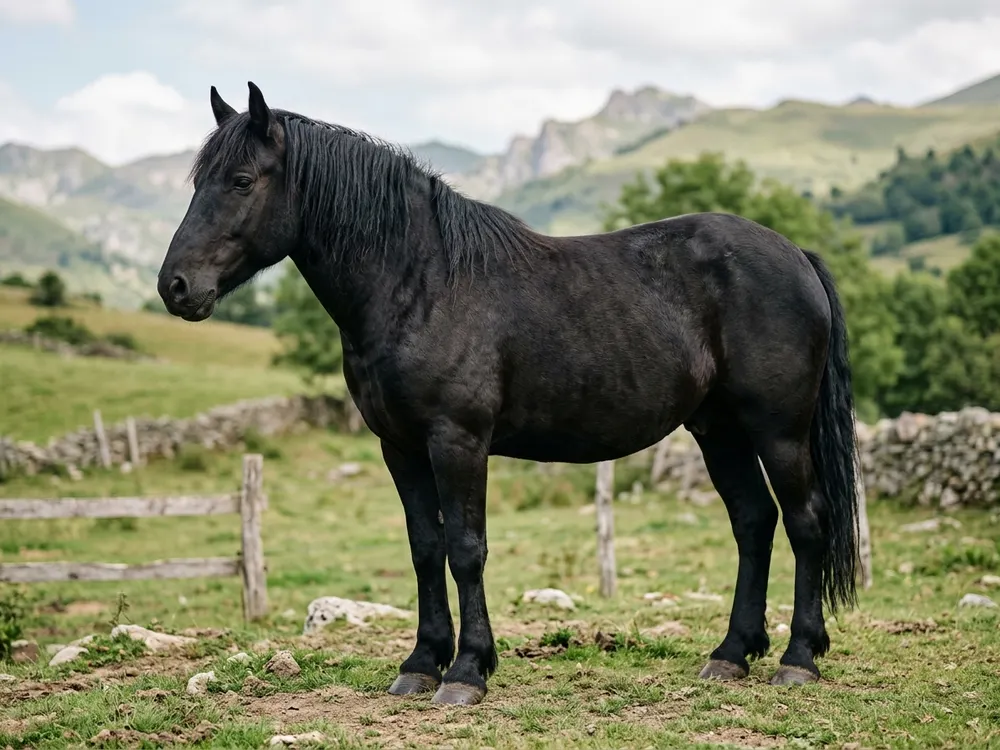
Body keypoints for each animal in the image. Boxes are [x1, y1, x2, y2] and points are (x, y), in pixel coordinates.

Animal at [157, 82, 863, 706]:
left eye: (242, 180)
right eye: (197, 182)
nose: (176, 286)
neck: (422, 283)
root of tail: (794, 254)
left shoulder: (458, 442)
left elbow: (467, 550)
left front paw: (468, 671)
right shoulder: (399, 448)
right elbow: (425, 548)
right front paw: (421, 664)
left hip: (778, 430)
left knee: (805, 522)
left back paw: (798, 658)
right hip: (720, 431)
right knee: (754, 522)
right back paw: (732, 654)